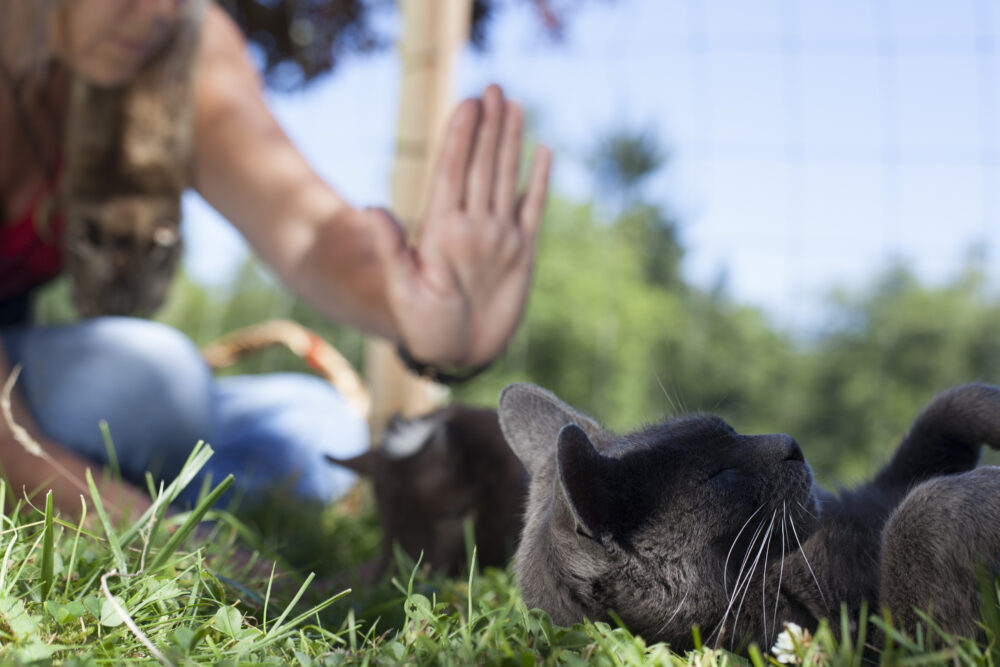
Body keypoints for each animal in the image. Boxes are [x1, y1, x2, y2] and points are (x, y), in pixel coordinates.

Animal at [500, 380, 1000, 652]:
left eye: (731, 430)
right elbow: (917, 520)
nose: (790, 443)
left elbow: (946, 410)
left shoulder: (875, 492)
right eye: (721, 476)